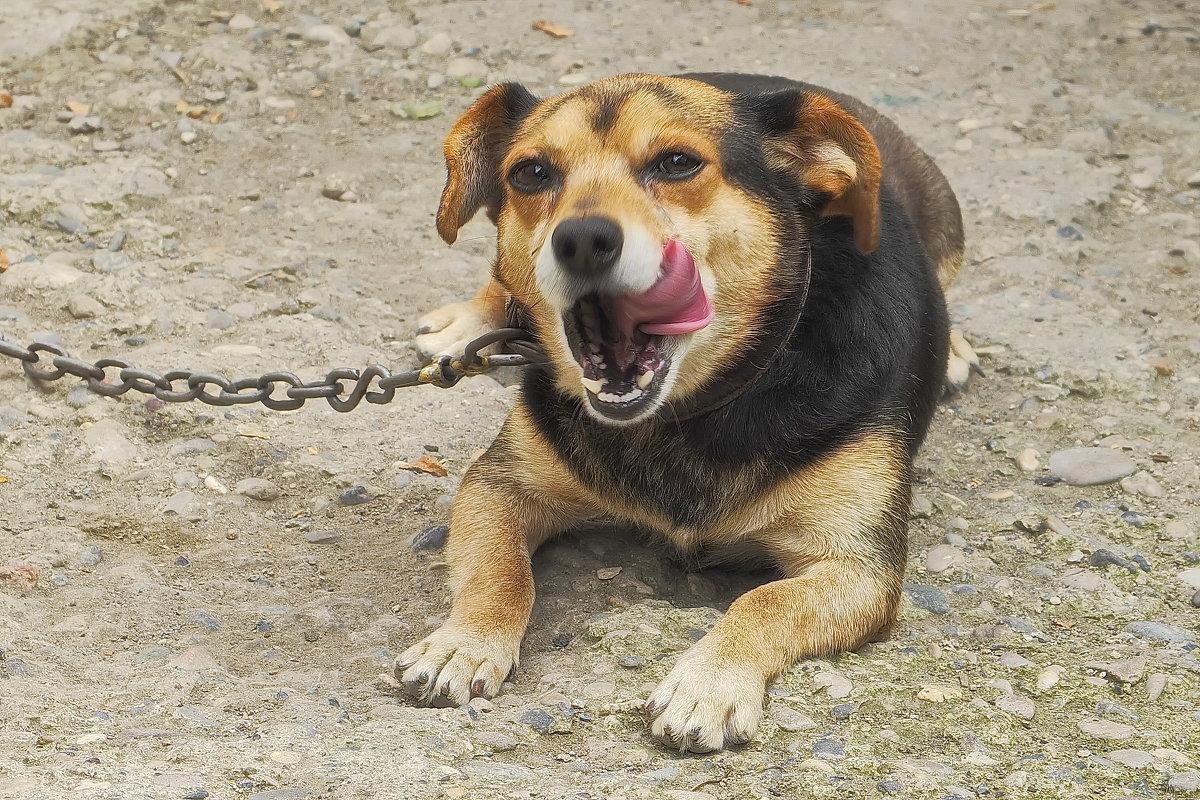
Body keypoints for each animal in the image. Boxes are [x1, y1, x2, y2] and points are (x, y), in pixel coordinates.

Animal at [398, 71, 979, 753]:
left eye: (677, 163)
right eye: (531, 173)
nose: (582, 239)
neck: (692, 409)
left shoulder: (859, 569)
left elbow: (764, 603)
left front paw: (709, 684)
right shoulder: (498, 487)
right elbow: (500, 571)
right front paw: (463, 642)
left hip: (945, 221)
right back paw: (469, 321)